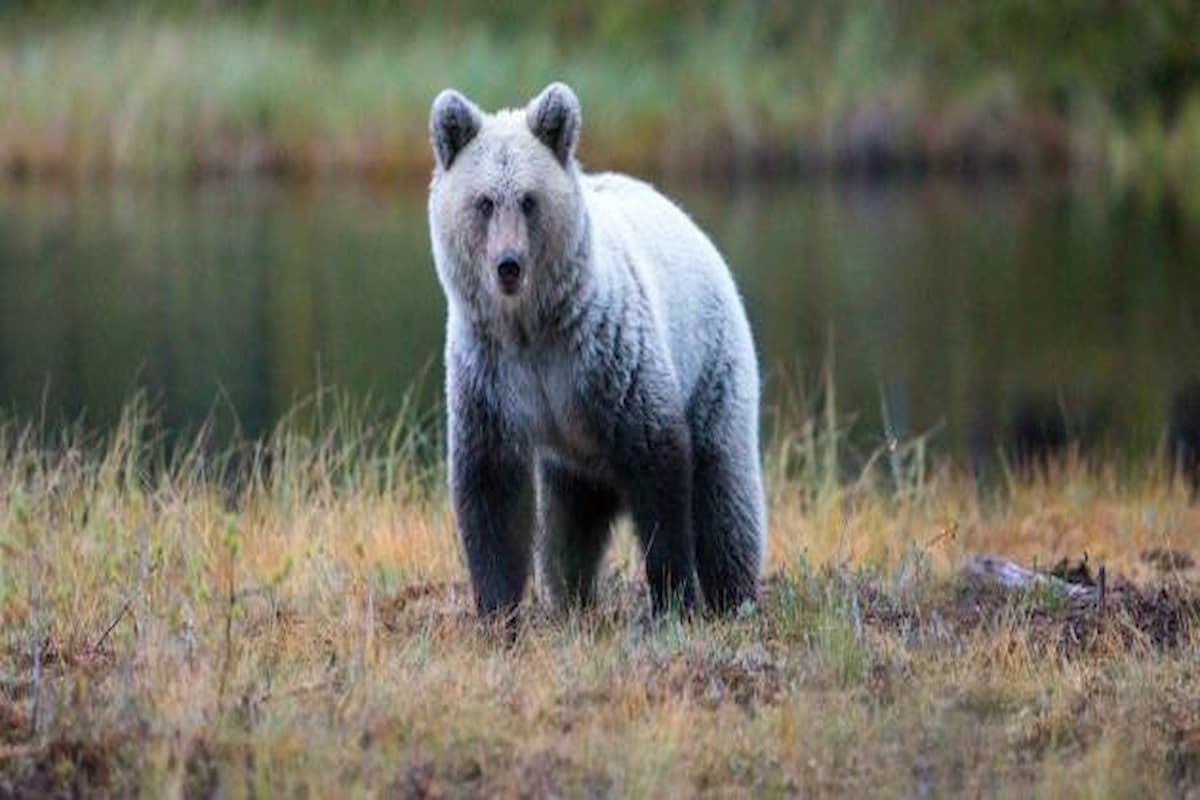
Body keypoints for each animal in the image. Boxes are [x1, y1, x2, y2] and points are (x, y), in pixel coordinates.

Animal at [432, 79, 763, 618]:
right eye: (484, 202)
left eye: (528, 200)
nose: (508, 265)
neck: (532, 327)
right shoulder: (491, 375)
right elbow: (490, 489)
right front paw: (498, 610)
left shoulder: (608, 354)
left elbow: (660, 465)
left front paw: (673, 598)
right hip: (575, 451)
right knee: (568, 529)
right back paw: (571, 596)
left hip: (712, 361)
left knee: (724, 490)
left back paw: (732, 596)